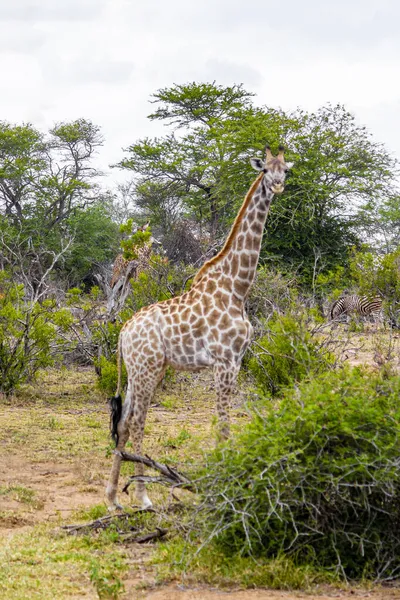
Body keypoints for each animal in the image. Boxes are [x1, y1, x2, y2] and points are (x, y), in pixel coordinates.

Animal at [106, 148, 294, 508]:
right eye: (265, 169)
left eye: (285, 170)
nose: (277, 185)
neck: (237, 287)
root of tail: (123, 332)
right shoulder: (225, 360)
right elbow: (222, 423)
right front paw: (225, 483)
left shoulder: (236, 360)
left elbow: (222, 421)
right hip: (147, 369)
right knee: (137, 420)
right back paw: (143, 497)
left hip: (141, 370)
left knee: (122, 423)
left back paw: (112, 498)